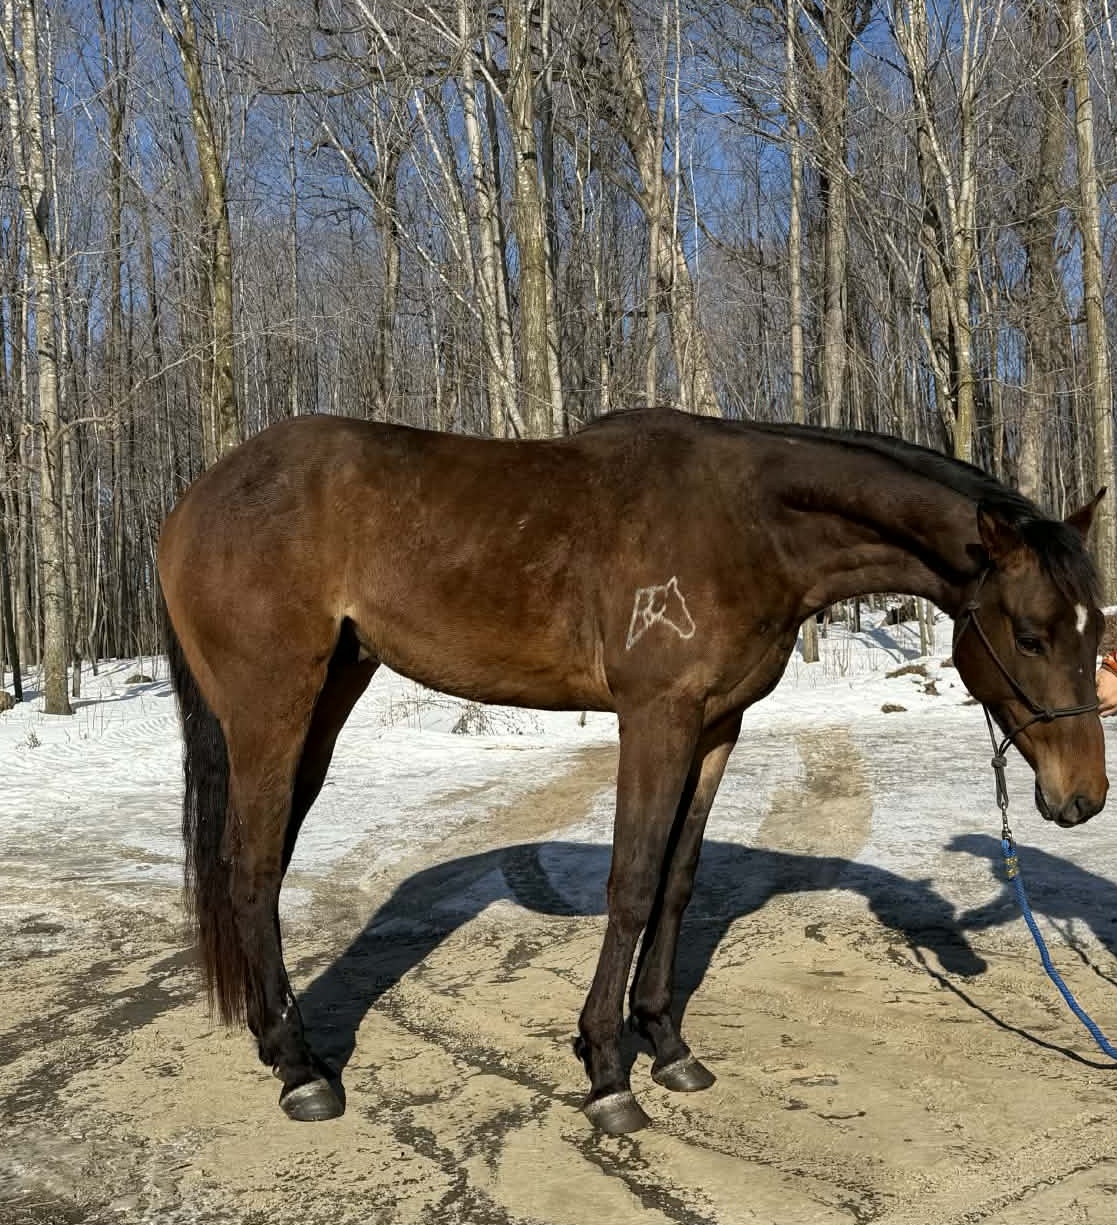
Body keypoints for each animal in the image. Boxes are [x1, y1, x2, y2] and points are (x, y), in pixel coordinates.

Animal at [157, 406, 1108, 1135]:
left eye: (1095, 625)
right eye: (1030, 635)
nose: (1081, 798)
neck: (747, 522)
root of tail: (195, 500)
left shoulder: (717, 723)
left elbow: (678, 880)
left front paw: (666, 1043)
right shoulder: (656, 717)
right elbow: (633, 878)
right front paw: (607, 1069)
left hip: (328, 696)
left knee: (262, 865)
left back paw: (279, 1042)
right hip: (273, 708)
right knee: (251, 871)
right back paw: (301, 1071)